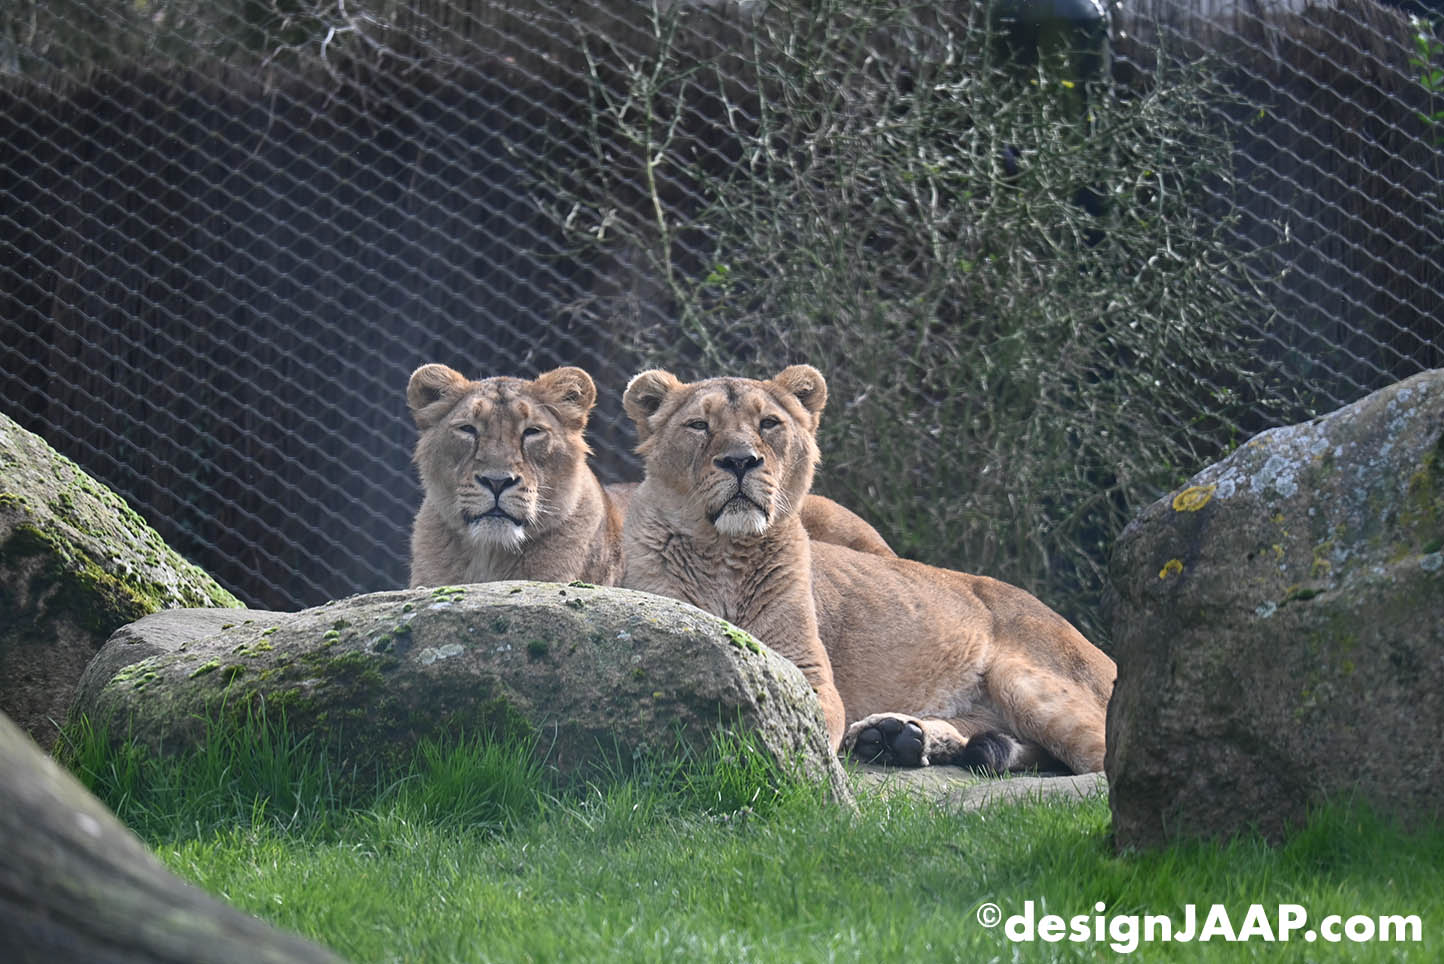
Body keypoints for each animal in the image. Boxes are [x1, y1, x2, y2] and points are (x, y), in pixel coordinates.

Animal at [619, 365, 1116, 773]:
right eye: (699, 425)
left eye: (768, 424)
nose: (740, 460)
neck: (725, 554)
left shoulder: (808, 671)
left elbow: (802, 721)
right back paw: (893, 738)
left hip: (1025, 681)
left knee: (1099, 759)